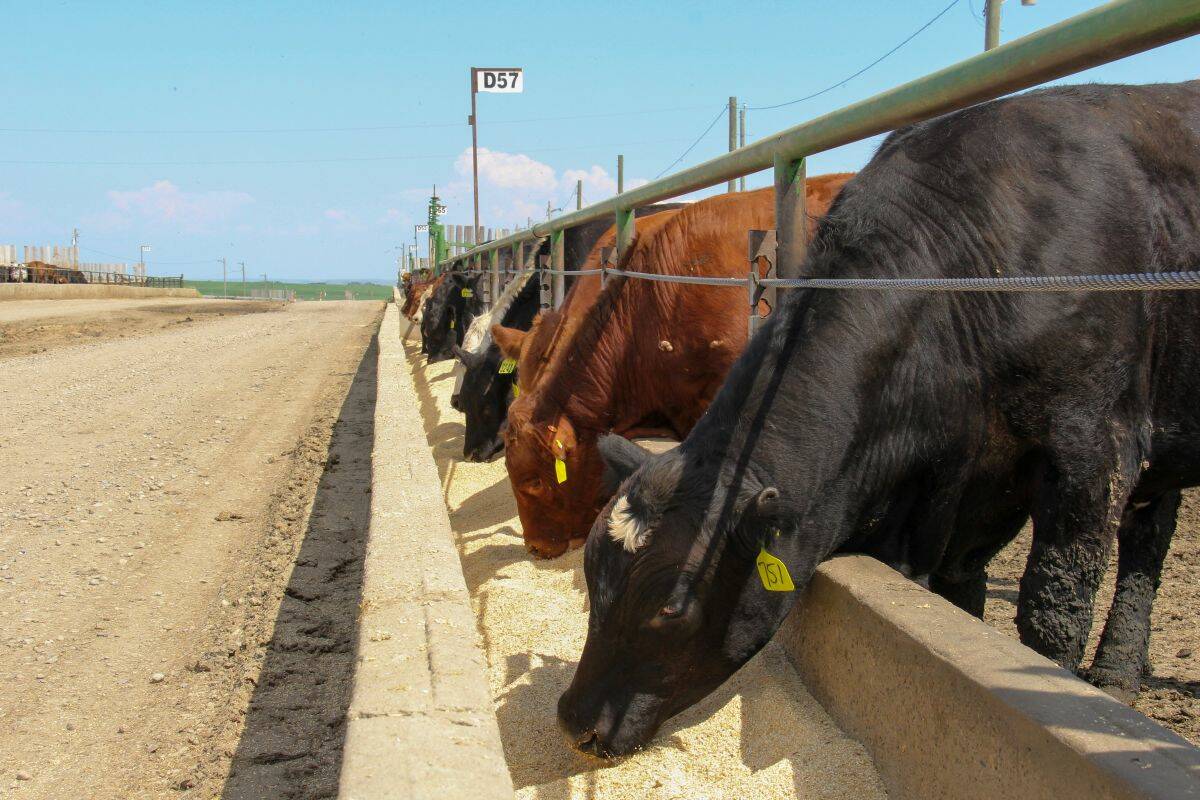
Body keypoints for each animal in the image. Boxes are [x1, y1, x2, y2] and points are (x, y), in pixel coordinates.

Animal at [557, 81, 1200, 759]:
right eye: (592, 569)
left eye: (672, 606)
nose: (574, 719)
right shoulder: (957, 494)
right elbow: (959, 591)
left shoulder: (1094, 447)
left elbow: (1055, 609)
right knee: (1151, 532)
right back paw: (1122, 671)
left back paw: (1111, 677)